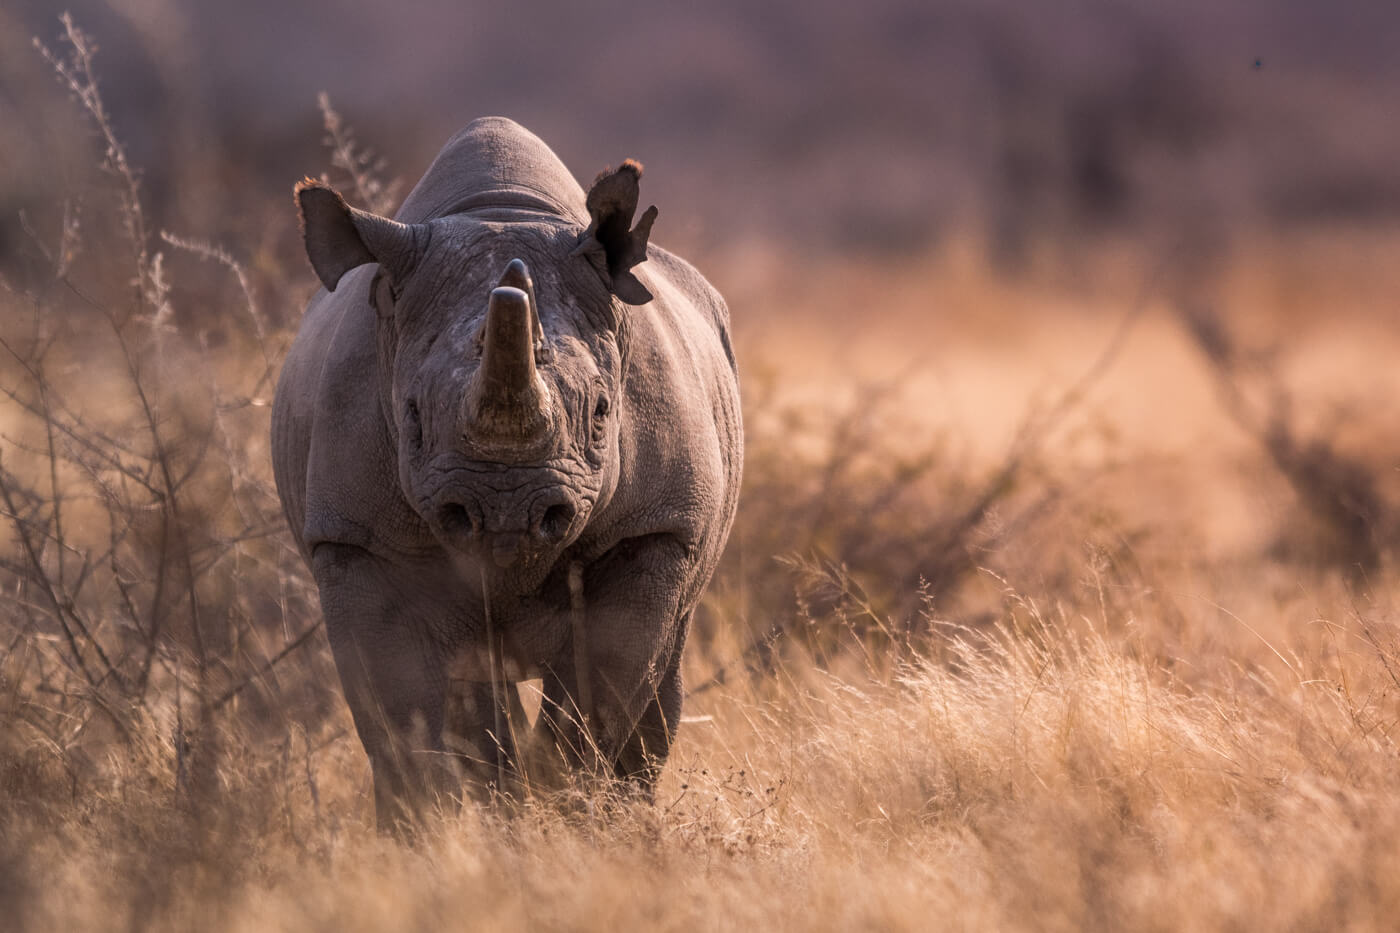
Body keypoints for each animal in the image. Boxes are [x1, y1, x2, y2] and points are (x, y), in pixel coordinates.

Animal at [271, 117, 742, 827]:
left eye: (603, 412)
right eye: (410, 416)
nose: (505, 514)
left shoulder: (654, 529)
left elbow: (597, 704)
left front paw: (568, 814)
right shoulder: (357, 540)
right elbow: (407, 720)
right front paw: (438, 832)